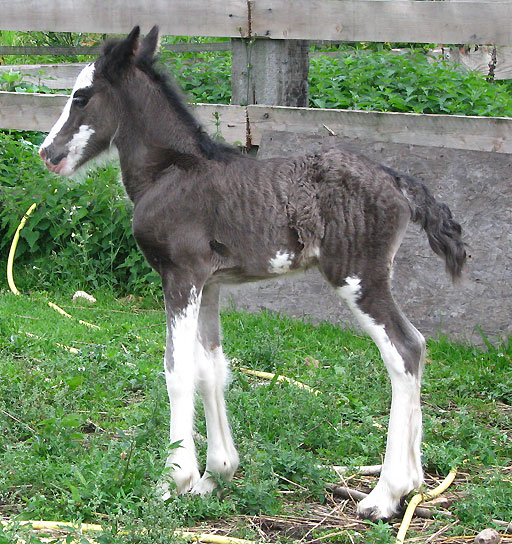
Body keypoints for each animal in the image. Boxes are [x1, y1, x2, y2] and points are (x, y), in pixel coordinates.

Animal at [38, 25, 466, 520]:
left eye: (81, 96)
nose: (48, 153)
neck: (170, 173)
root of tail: (397, 181)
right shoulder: (209, 284)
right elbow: (211, 367)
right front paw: (215, 474)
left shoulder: (180, 275)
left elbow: (177, 369)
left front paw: (173, 480)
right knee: (416, 346)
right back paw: (412, 484)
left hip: (358, 277)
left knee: (404, 350)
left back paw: (385, 494)